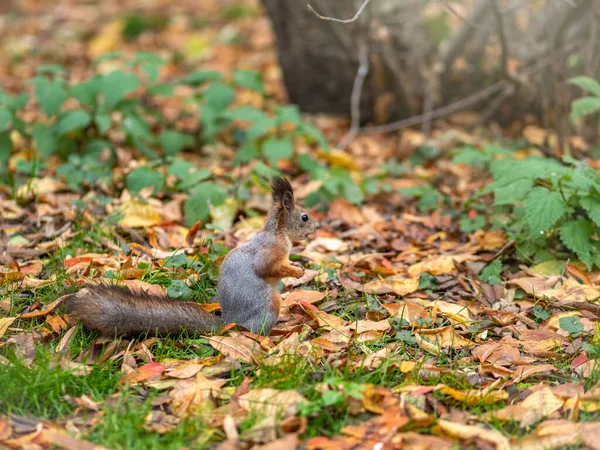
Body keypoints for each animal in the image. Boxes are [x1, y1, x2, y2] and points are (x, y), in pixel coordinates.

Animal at [62, 178, 318, 336]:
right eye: (304, 217)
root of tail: (230, 325)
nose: (317, 226)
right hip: (269, 305)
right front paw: (296, 270)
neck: (279, 233)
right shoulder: (270, 251)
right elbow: (268, 268)